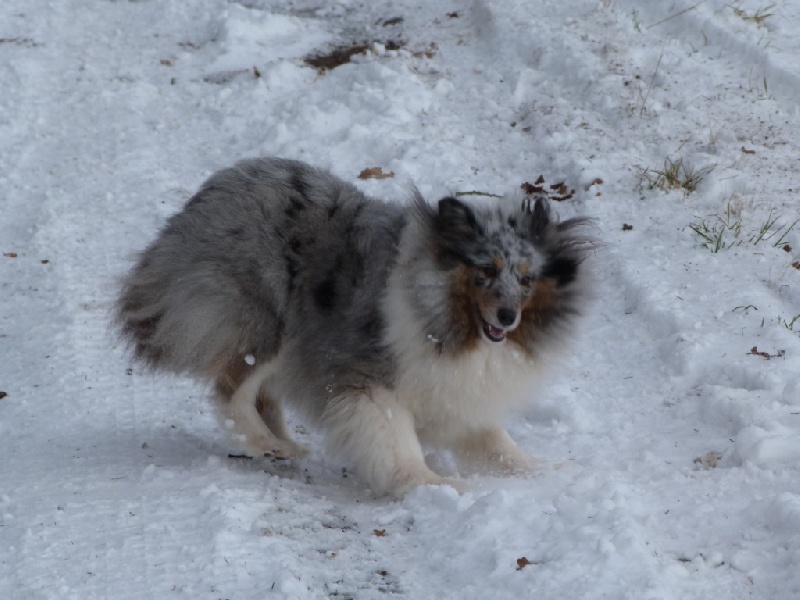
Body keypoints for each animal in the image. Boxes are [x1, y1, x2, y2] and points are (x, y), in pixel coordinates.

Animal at [119, 157, 592, 494]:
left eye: (527, 279)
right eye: (486, 271)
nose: (507, 317)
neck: (451, 325)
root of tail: (214, 189)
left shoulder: (451, 392)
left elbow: (497, 443)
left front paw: (544, 471)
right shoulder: (371, 380)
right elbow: (398, 442)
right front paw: (433, 485)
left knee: (261, 396)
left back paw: (286, 446)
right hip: (268, 324)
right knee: (230, 392)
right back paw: (266, 445)